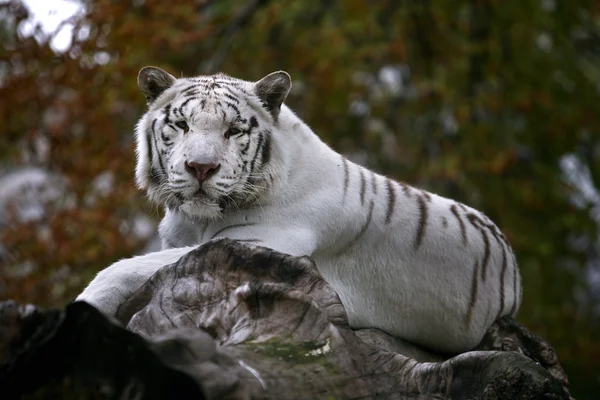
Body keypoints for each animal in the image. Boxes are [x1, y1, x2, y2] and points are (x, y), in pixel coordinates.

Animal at [78, 65, 520, 354]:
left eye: (233, 131)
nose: (201, 167)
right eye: (182, 125)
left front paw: (84, 305)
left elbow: (124, 267)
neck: (196, 220)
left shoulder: (257, 243)